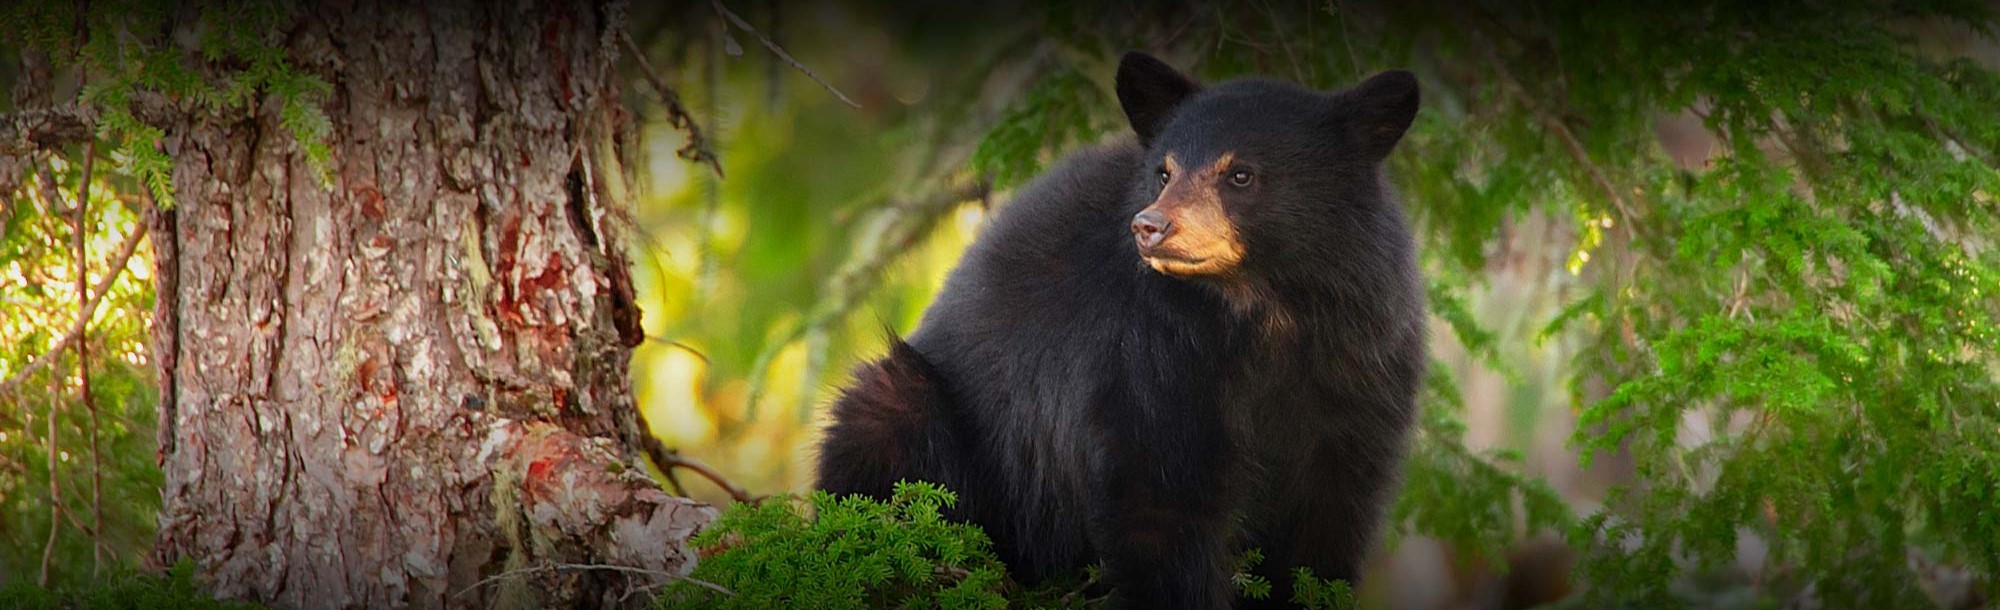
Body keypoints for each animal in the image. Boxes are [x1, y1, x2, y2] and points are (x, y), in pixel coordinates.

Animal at [820, 53, 1432, 608]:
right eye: (1164, 171)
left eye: (1240, 174)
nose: (1150, 225)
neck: (1262, 314)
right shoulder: (1146, 354)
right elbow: (1158, 497)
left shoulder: (1362, 370)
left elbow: (1329, 520)